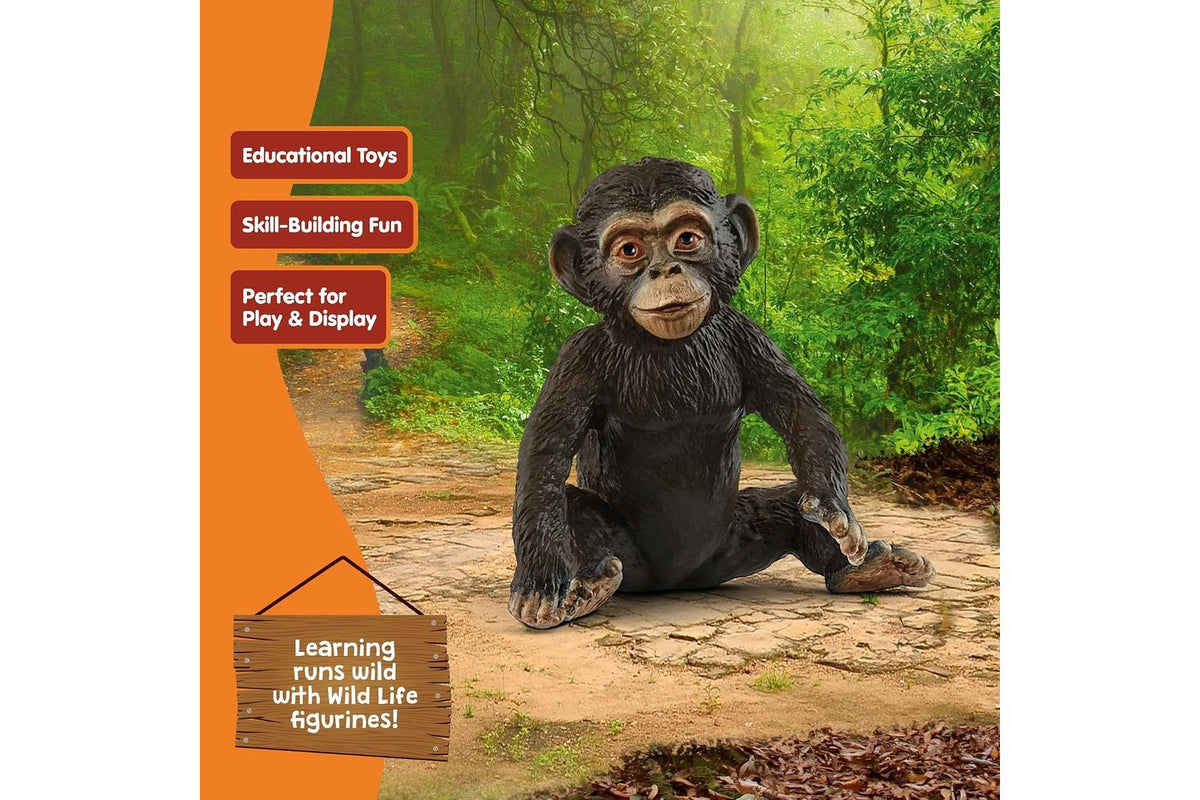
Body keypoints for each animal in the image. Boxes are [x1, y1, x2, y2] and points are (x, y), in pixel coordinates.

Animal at [509, 157, 935, 630]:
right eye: (630, 251)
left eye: (686, 240)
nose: (666, 269)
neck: (666, 346)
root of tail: (679, 583)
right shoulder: (578, 356)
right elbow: (546, 456)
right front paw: (542, 582)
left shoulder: (747, 334)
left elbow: (800, 410)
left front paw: (831, 506)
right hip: (637, 563)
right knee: (573, 508)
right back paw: (588, 587)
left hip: (735, 543)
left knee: (788, 505)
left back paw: (867, 569)